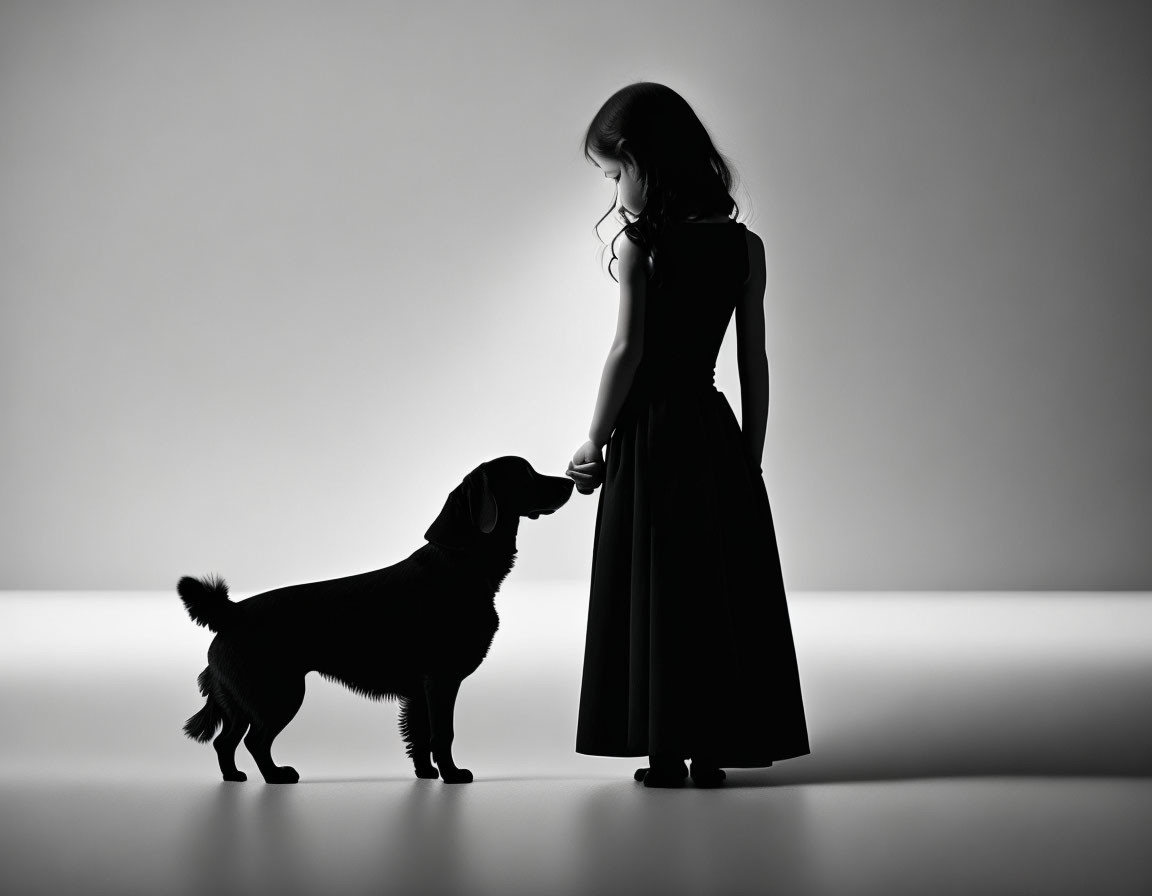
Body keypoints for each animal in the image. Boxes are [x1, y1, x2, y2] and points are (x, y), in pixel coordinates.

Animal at [178, 458, 571, 778]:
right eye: (525, 472)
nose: (570, 480)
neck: (460, 563)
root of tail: (231, 612)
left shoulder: (419, 688)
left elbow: (419, 735)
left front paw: (427, 775)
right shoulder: (441, 678)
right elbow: (442, 733)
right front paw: (452, 775)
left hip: (243, 700)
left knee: (225, 742)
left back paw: (234, 778)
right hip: (278, 694)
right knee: (254, 741)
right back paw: (276, 777)